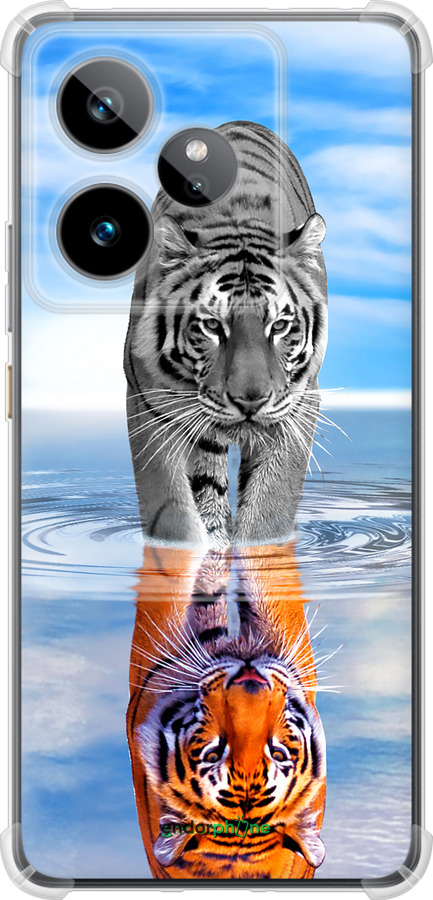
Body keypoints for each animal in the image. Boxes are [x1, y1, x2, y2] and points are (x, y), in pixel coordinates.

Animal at [124, 121, 328, 549]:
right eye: (212, 326)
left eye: (280, 326)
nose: (250, 401)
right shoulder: (148, 403)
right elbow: (172, 512)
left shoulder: (299, 404)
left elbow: (270, 509)